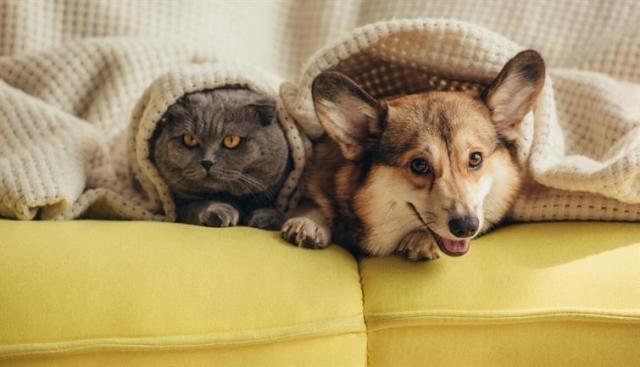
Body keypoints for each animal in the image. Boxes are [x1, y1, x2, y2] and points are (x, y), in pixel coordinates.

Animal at [150, 87, 290, 229]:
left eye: (232, 140)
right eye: (189, 139)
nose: (207, 162)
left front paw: (267, 218)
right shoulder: (179, 205)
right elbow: (194, 206)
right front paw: (218, 211)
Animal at [280, 50, 544, 262]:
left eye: (476, 158)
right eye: (419, 165)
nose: (467, 227)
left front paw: (421, 239)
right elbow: (315, 202)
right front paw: (308, 222)